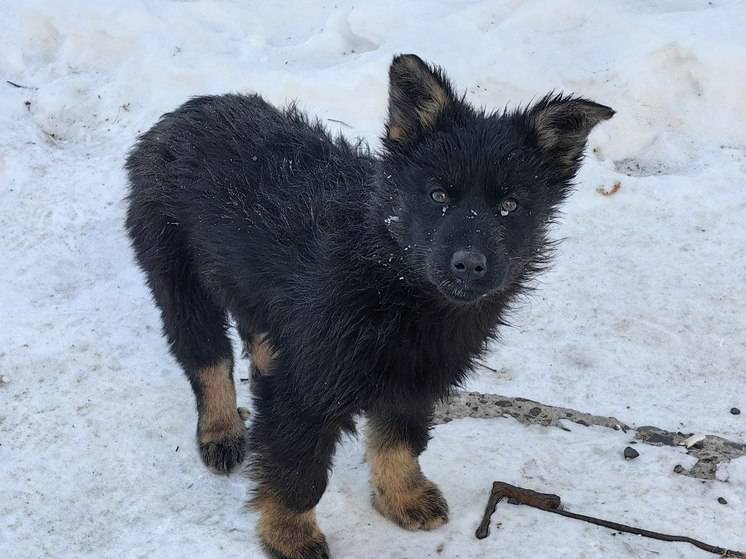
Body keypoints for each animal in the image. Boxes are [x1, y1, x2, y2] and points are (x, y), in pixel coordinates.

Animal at [123, 53, 612, 559]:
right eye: (438, 195)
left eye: (510, 206)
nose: (469, 265)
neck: (393, 281)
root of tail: (186, 111)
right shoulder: (309, 388)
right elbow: (298, 472)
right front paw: (290, 535)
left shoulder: (416, 379)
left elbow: (399, 442)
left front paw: (403, 496)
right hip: (176, 271)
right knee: (206, 357)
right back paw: (220, 431)